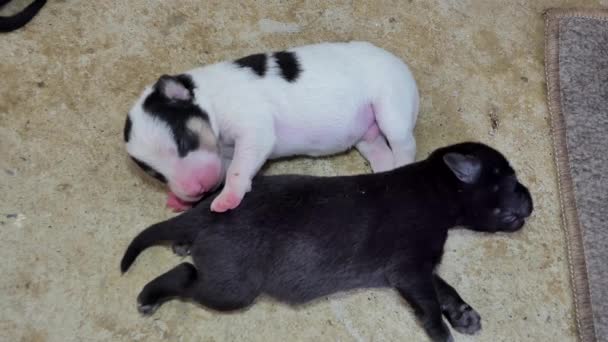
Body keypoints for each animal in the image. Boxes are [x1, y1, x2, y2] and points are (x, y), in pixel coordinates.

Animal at [120, 141, 532, 340]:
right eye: (511, 179)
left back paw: (182, 244)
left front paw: (462, 313)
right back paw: (148, 296)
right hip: (232, 288)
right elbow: (430, 302)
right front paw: (443, 332)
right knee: (184, 276)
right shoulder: (409, 268)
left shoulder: (420, 267)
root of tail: (205, 215)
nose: (532, 199)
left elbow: (444, 287)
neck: (433, 190)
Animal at [123, 41, 418, 212]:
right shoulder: (226, 154)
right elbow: (229, 168)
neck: (209, 99)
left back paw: (403, 165)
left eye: (183, 142)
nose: (196, 190)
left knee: (404, 144)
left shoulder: (254, 130)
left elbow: (237, 171)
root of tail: (400, 64)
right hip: (367, 137)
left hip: (391, 109)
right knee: (381, 152)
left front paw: (228, 197)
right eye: (156, 175)